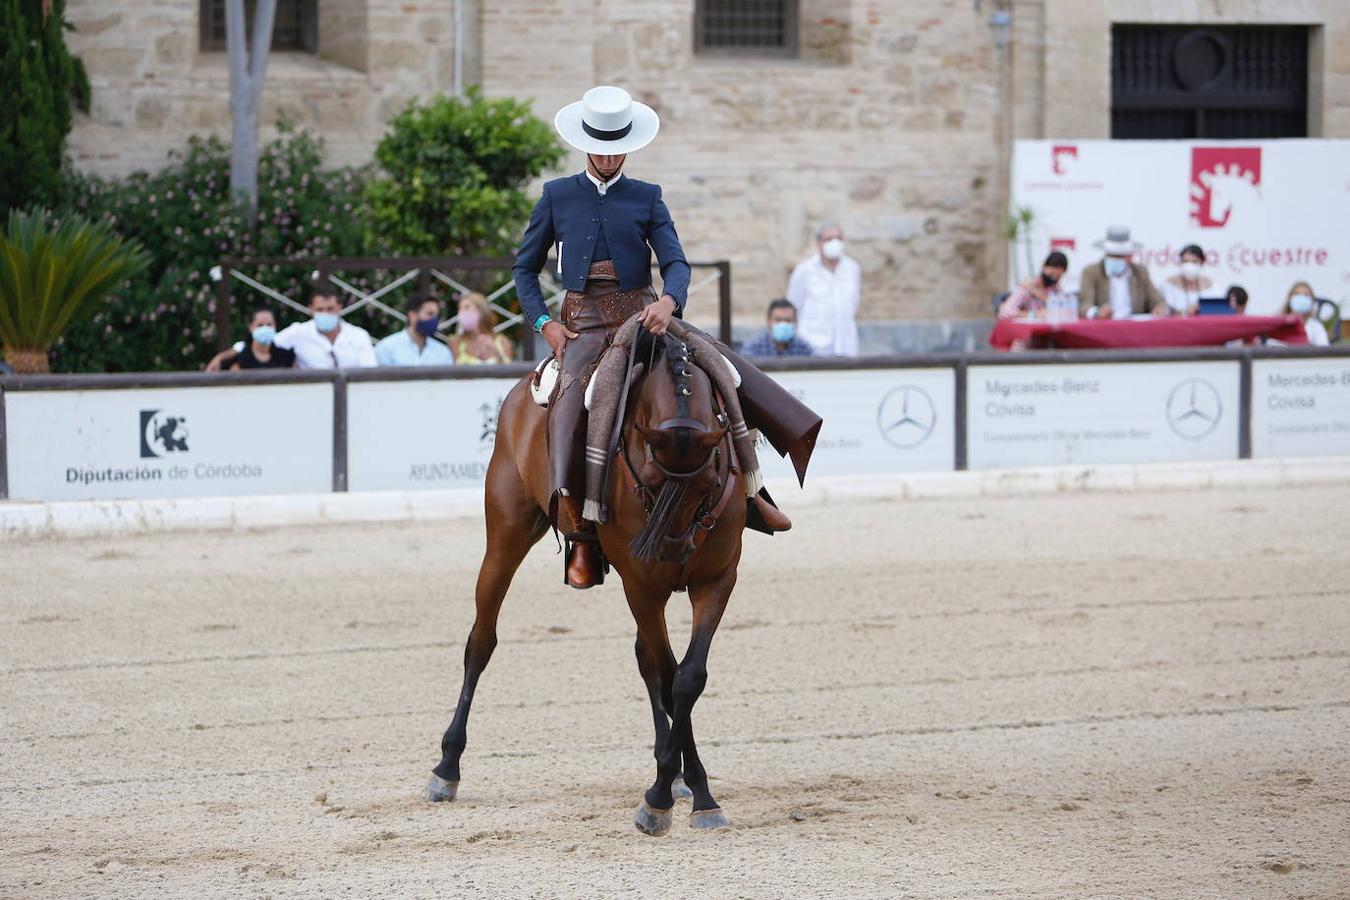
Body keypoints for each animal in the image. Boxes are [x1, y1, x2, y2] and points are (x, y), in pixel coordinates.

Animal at [426, 325, 750, 836]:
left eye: (710, 481)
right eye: (650, 480)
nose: (673, 553)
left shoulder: (716, 578)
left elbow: (686, 678)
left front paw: (694, 791)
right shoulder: (642, 584)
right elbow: (668, 676)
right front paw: (661, 797)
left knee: (648, 661)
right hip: (506, 534)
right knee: (480, 641)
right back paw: (446, 767)